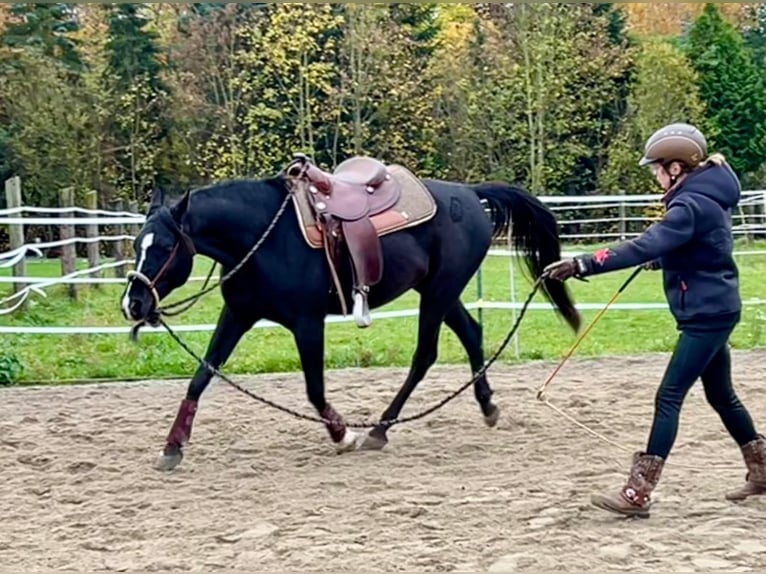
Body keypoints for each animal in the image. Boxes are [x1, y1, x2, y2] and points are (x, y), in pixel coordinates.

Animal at [120, 159, 580, 472]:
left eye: (164, 247)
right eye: (138, 244)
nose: (133, 304)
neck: (263, 237)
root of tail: (468, 194)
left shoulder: (307, 323)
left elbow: (314, 389)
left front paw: (344, 435)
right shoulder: (237, 314)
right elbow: (201, 377)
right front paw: (172, 447)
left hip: (438, 293)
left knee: (425, 355)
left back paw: (379, 429)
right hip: (440, 291)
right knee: (471, 333)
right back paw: (487, 407)